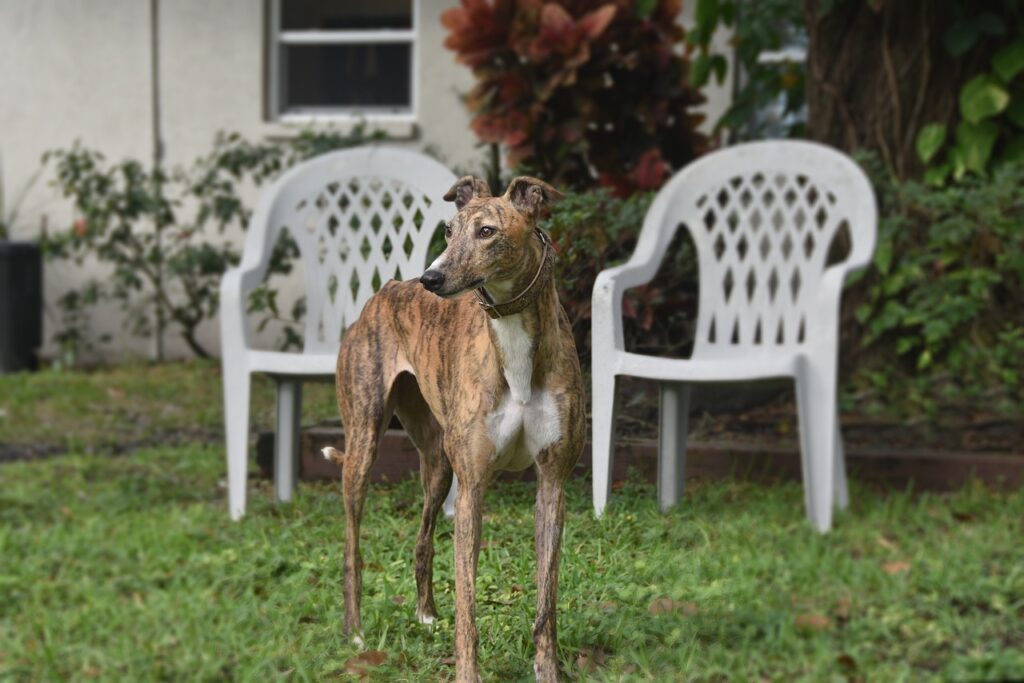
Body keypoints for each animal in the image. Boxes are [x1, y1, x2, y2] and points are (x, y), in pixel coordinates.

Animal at [327, 178, 585, 683]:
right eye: (449, 231)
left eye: (487, 231)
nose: (431, 279)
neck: (512, 336)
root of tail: (385, 291)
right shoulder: (473, 488)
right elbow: (468, 602)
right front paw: (467, 672)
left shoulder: (552, 482)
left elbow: (547, 600)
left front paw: (547, 669)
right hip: (363, 445)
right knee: (351, 544)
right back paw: (354, 629)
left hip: (438, 462)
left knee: (423, 538)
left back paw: (425, 614)